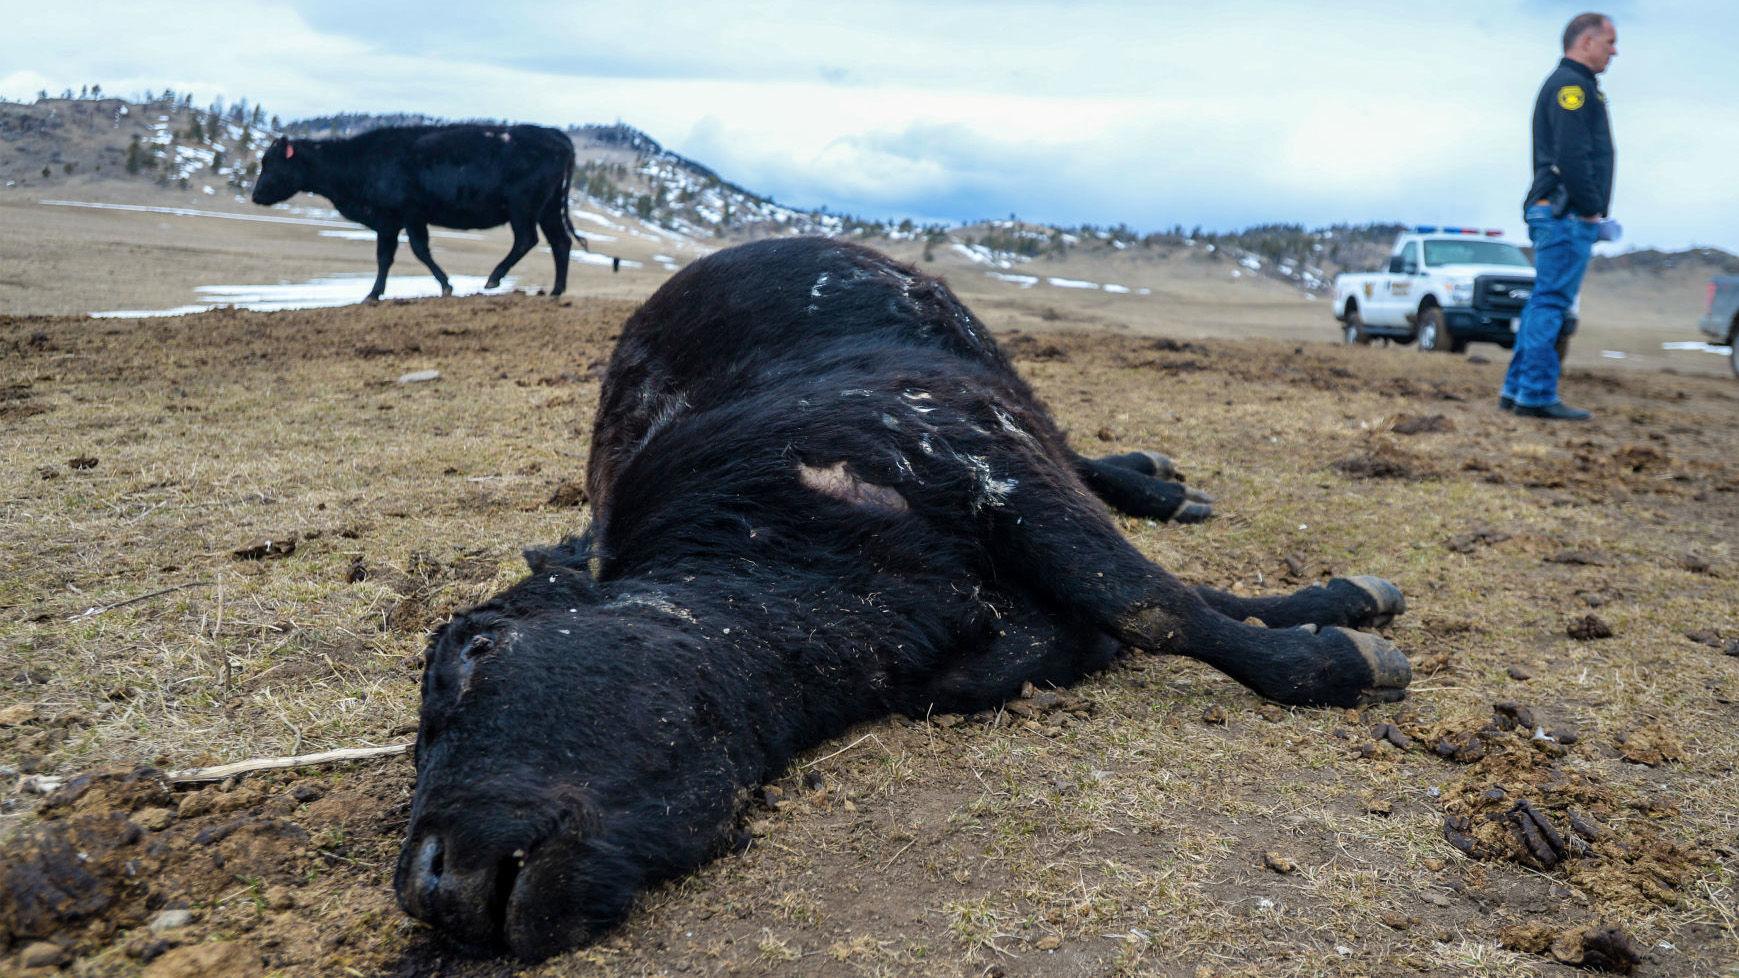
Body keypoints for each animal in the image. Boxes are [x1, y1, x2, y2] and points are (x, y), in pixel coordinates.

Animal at [250, 124, 588, 301]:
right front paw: (377, 292)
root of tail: (555, 135)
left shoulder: (400, 217)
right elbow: (395, 255)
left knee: (527, 240)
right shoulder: (398, 221)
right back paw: (556, 290)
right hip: (547, 209)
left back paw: (494, 278)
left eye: (271, 162)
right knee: (560, 242)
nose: (255, 195)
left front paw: (443, 286)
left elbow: (410, 252)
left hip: (523, 207)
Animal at [394, 238, 1412, 960]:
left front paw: (1339, 650)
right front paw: (1340, 605)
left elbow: (1149, 600)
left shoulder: (978, 456)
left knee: (1090, 471)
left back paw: (1159, 481)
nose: (433, 886)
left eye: (474, 649)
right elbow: (1157, 603)